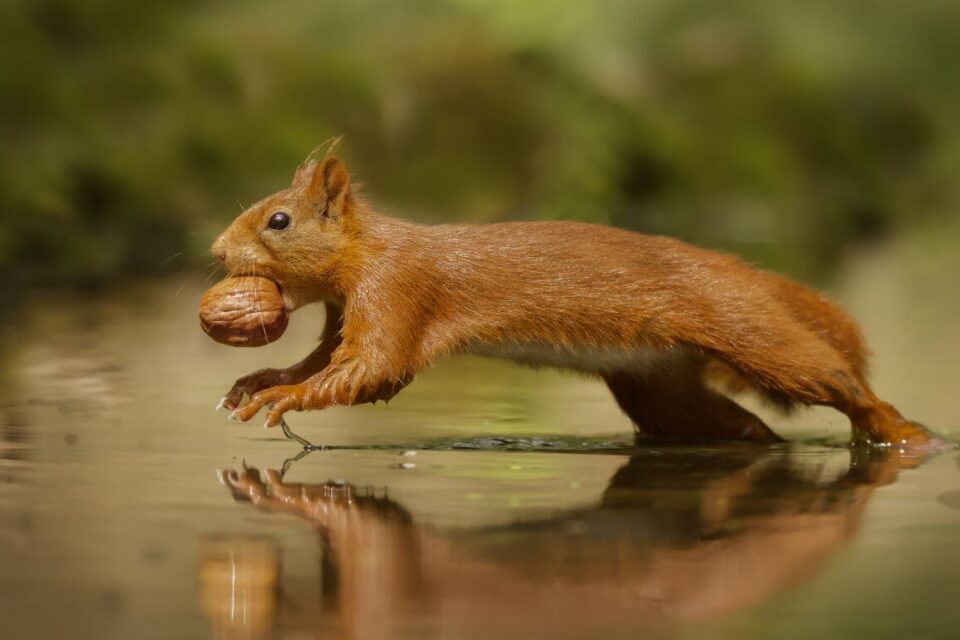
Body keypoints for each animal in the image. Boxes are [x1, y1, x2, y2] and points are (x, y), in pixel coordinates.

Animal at [212, 146, 944, 450]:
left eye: (278, 220)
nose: (218, 250)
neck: (374, 249)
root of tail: (743, 271)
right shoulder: (347, 312)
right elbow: (328, 361)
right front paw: (259, 382)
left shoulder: (397, 291)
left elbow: (373, 369)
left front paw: (282, 398)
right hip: (657, 383)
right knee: (738, 427)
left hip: (750, 329)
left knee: (838, 381)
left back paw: (908, 436)